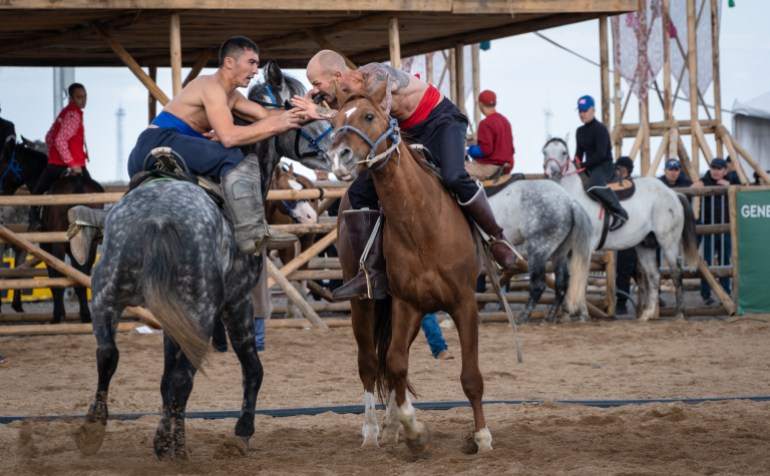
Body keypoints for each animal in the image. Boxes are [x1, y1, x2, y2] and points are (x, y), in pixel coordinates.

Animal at [328, 82, 488, 454]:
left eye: (369, 116)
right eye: (334, 121)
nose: (339, 157)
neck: (422, 222)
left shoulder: (463, 303)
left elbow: (470, 377)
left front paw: (482, 438)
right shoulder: (404, 303)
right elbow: (395, 363)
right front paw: (413, 428)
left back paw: (390, 427)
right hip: (363, 305)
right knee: (371, 363)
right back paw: (374, 431)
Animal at [540, 139, 696, 322]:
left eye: (563, 152)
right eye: (545, 152)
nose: (551, 172)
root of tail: (672, 193)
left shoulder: (585, 248)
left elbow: (581, 278)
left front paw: (583, 314)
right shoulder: (568, 250)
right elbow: (567, 279)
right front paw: (564, 314)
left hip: (668, 242)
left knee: (676, 272)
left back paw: (679, 313)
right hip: (645, 245)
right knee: (654, 276)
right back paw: (646, 314)